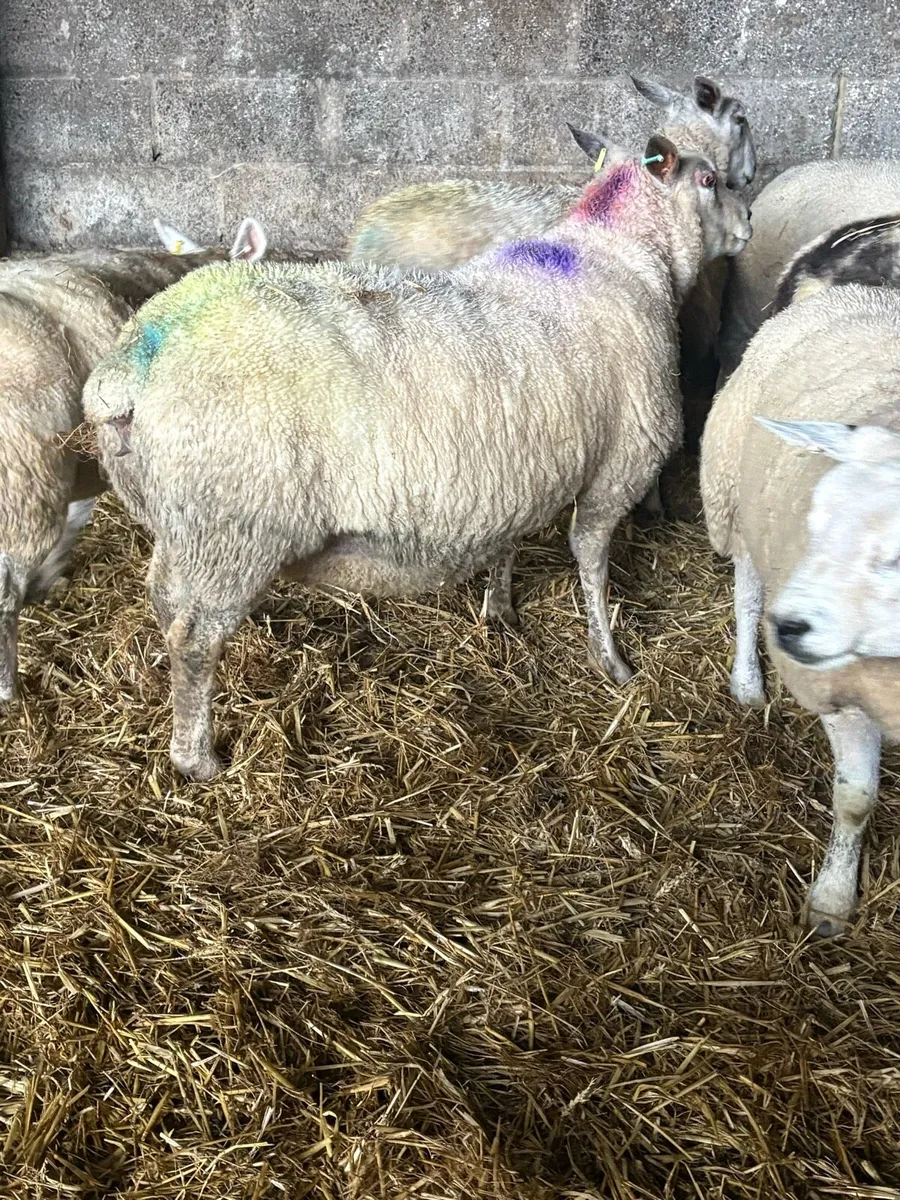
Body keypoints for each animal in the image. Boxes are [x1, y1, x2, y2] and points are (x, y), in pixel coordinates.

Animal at [83, 137, 751, 781]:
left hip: (185, 525)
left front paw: (500, 609)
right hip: (233, 529)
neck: (617, 249)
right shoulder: (619, 468)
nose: (748, 222)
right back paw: (198, 760)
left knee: (164, 603)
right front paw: (610, 659)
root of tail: (132, 366)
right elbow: (591, 561)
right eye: (709, 179)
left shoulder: (521, 465)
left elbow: (509, 542)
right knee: (196, 640)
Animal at [700, 280, 900, 936]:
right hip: (736, 502)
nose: (790, 628)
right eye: (817, 520)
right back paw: (747, 684)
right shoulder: (843, 693)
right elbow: (855, 801)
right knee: (745, 599)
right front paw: (833, 900)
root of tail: (848, 290)